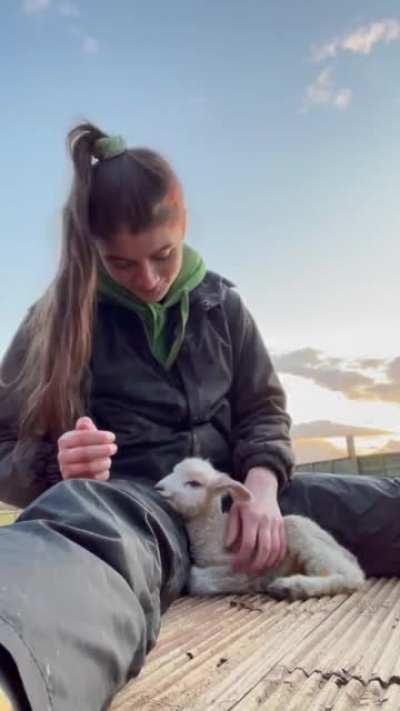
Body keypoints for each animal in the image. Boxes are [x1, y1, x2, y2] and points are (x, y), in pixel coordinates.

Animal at [155, 456, 366, 600]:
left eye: (194, 483)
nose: (158, 488)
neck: (214, 531)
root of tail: (347, 554)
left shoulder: (244, 562)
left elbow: (197, 580)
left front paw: (248, 583)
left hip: (302, 533)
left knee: (351, 577)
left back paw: (291, 587)